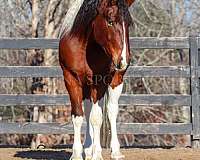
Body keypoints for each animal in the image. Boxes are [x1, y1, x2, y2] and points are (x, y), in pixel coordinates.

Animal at [58, 0, 135, 159]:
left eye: (129, 24)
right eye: (110, 21)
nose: (124, 60)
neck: (84, 46)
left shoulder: (100, 82)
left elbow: (96, 118)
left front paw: (97, 154)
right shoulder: (70, 79)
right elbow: (78, 115)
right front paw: (77, 153)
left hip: (115, 81)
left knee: (111, 111)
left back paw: (115, 151)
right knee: (88, 111)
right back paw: (88, 149)